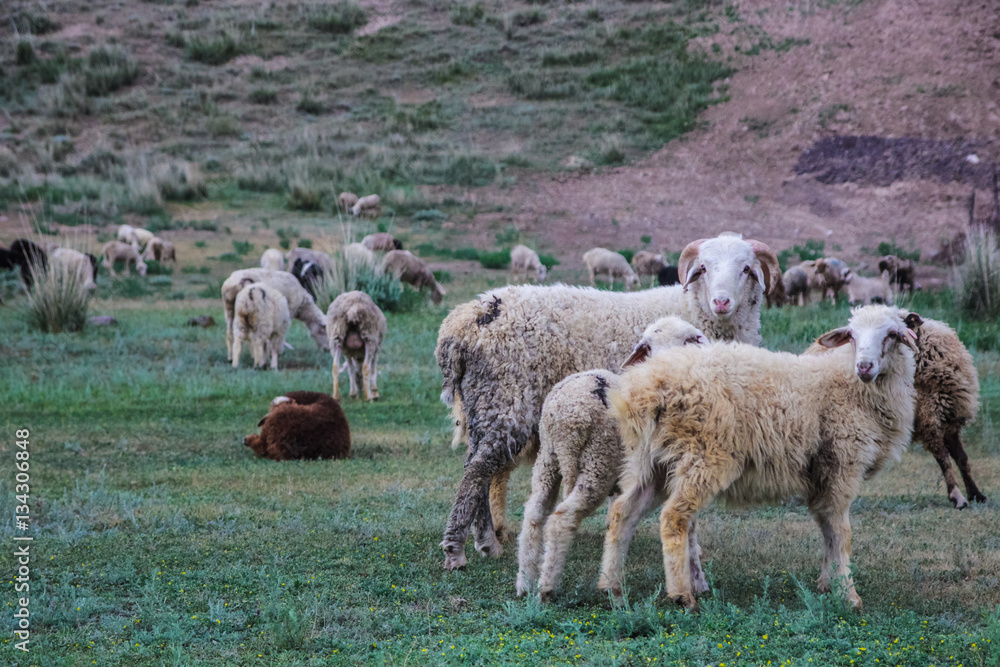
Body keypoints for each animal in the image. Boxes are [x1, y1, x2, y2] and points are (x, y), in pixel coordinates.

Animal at [435, 232, 780, 570]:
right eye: (704, 268)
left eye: (746, 268)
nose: (721, 302)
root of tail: (460, 323)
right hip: (507, 400)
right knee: (478, 469)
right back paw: (457, 549)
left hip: (483, 402)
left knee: (478, 466)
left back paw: (485, 541)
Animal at [516, 317, 708, 600]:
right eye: (649, 346)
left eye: (685, 342)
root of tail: (566, 417)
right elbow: (690, 527)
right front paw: (698, 581)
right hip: (597, 464)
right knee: (561, 519)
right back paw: (547, 589)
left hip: (548, 460)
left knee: (534, 513)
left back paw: (525, 583)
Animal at [600, 305, 920, 611]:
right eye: (852, 335)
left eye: (892, 334)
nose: (864, 366)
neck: (846, 383)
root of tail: (649, 387)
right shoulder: (844, 466)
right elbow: (842, 533)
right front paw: (849, 596)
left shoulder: (822, 477)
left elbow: (827, 529)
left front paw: (828, 585)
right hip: (703, 456)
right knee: (674, 518)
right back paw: (682, 596)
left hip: (649, 462)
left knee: (622, 513)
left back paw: (612, 589)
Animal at [807, 312, 986, 509]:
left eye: (895, 332)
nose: (864, 365)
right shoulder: (929, 422)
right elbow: (944, 460)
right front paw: (957, 497)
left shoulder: (949, 421)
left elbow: (962, 458)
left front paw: (976, 494)